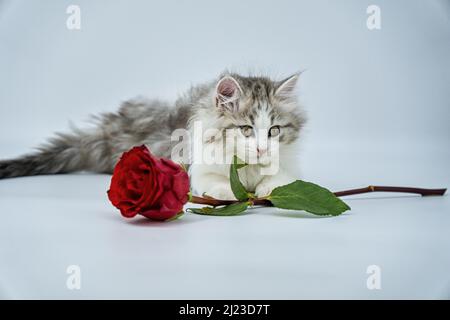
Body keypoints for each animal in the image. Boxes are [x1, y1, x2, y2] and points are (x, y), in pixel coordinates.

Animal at [0, 72, 306, 200]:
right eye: (245, 130)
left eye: (274, 131)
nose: (262, 150)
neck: (247, 166)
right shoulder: (199, 168)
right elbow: (219, 183)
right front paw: (235, 191)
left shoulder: (286, 165)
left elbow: (279, 180)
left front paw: (266, 189)